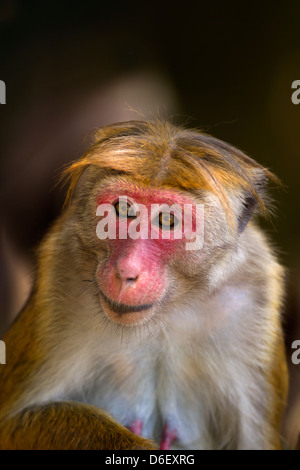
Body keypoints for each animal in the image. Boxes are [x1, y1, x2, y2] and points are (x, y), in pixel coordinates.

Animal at [0, 120, 288, 448]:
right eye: (123, 209)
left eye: (167, 220)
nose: (127, 270)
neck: (164, 312)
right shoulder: (61, 271)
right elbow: (12, 423)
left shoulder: (254, 296)